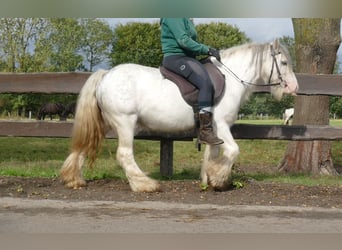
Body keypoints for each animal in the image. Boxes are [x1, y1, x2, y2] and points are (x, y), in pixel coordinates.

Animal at [61, 39, 300, 191]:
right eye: (284, 63)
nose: (294, 87)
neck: (231, 78)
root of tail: (105, 75)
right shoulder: (221, 124)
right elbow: (233, 150)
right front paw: (219, 178)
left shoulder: (212, 130)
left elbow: (211, 153)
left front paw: (209, 178)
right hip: (125, 123)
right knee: (124, 155)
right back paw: (145, 185)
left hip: (103, 124)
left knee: (84, 146)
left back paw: (74, 180)